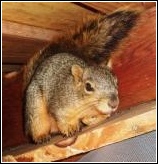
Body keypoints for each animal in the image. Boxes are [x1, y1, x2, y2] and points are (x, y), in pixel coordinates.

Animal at [23, 8, 139, 146]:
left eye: (116, 82)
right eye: (88, 87)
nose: (113, 104)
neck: (87, 105)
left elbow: (91, 118)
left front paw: (93, 119)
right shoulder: (60, 106)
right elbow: (62, 118)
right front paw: (70, 128)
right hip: (35, 108)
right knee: (38, 125)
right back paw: (42, 136)